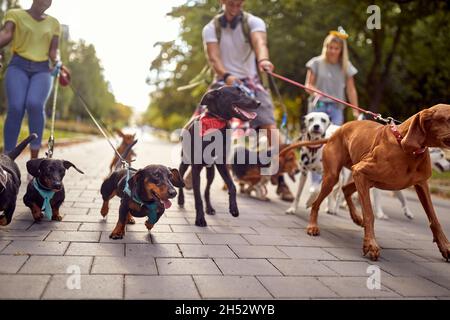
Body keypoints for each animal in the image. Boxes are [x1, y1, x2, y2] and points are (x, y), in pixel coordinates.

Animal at [304, 104, 450, 262]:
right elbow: (369, 214)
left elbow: (434, 219)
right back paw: (312, 226)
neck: (405, 145)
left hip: (367, 181)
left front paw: (445, 246)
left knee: (345, 189)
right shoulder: (360, 172)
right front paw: (371, 244)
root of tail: (334, 133)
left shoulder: (422, 184)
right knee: (316, 203)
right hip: (333, 177)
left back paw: (356, 217)